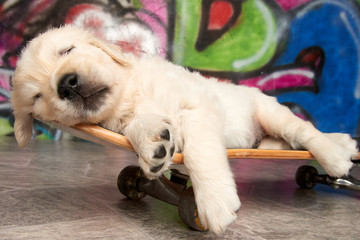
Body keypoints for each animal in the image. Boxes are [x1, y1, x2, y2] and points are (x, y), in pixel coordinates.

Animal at [11, 26, 358, 234]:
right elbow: (142, 128)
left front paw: (214, 202)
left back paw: (337, 154)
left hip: (268, 111)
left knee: (305, 132)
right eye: (38, 96)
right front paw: (153, 147)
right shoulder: (127, 121)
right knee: (287, 140)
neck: (130, 94)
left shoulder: (197, 106)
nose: (67, 84)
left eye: (67, 51)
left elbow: (199, 153)